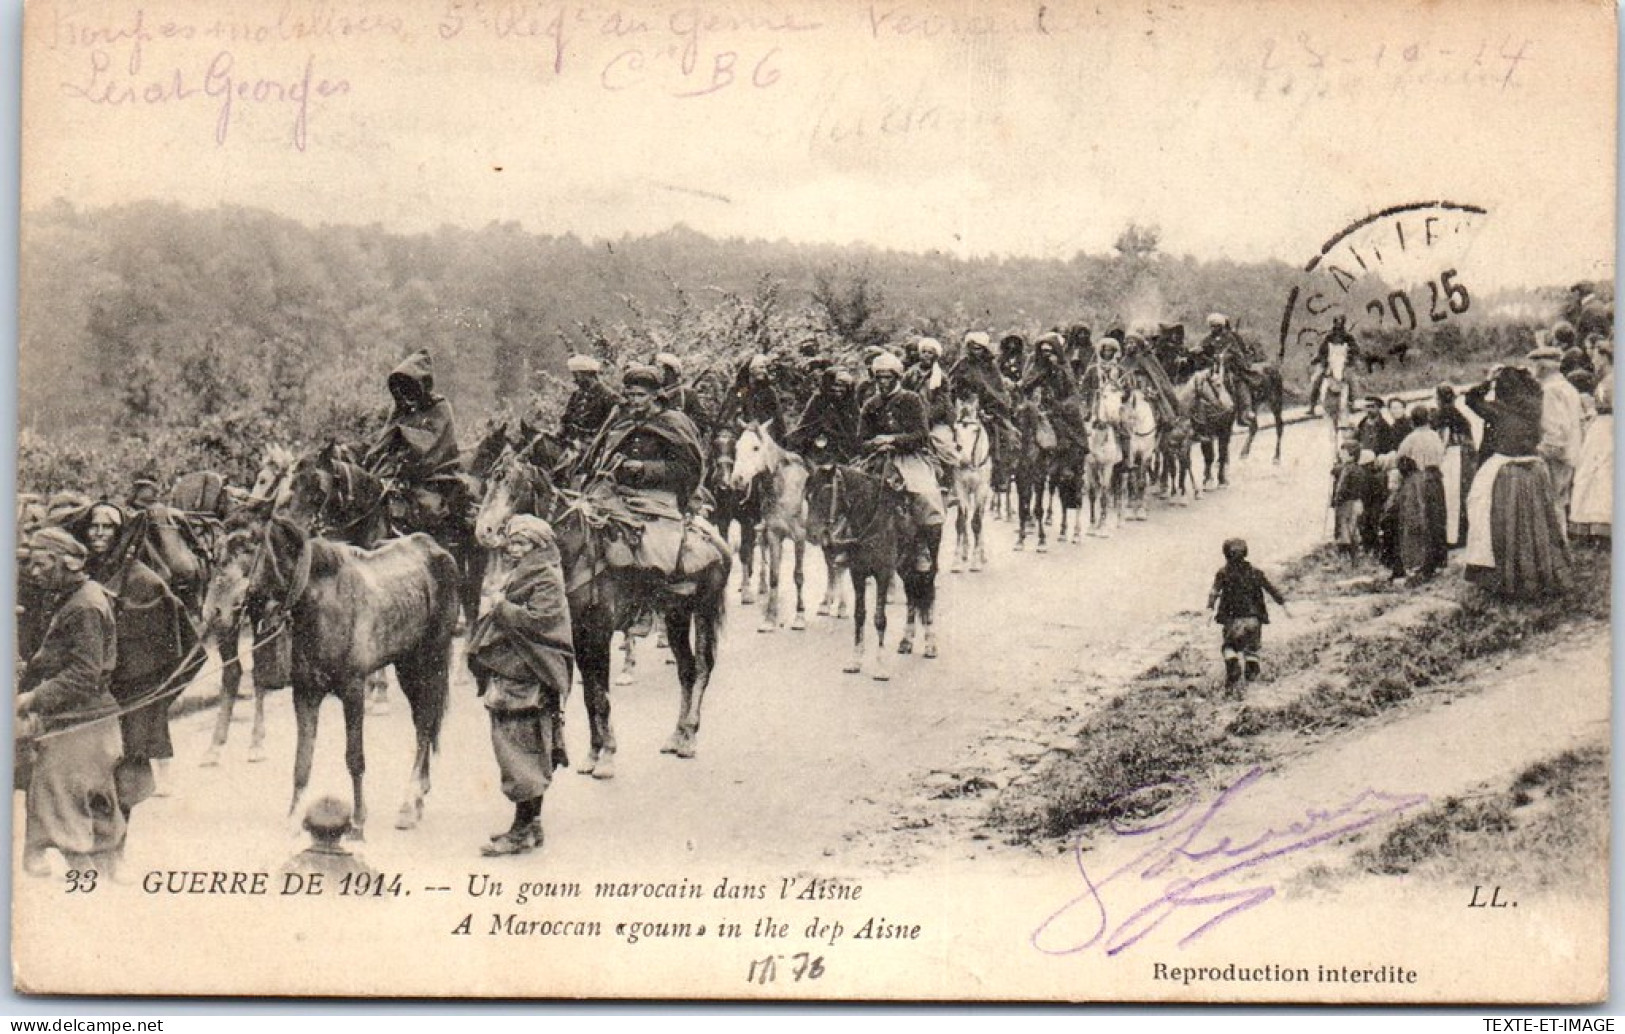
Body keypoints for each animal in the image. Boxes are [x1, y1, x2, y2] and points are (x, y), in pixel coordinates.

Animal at [240, 513, 458, 832]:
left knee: (425, 725)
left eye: (272, 553)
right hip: (407, 667)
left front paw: (357, 817)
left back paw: (408, 804)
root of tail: (435, 549)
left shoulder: (353, 690)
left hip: (431, 663)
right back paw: (418, 799)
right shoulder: (306, 693)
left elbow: (355, 758)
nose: (250, 600)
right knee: (422, 721)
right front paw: (294, 816)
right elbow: (302, 761)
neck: (327, 606)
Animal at [471, 451, 724, 767]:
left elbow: (602, 696)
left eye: (511, 485)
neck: (577, 549)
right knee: (686, 669)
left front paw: (606, 758)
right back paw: (676, 736)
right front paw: (594, 753)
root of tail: (714, 538)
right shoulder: (577, 636)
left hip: (704, 609)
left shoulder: (599, 633)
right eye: (489, 483)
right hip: (675, 615)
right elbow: (589, 696)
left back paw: (689, 736)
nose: (484, 532)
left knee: (703, 666)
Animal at [728, 419, 809, 630]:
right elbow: (774, 575)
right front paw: (770, 619)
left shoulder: (800, 537)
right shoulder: (773, 534)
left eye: (756, 447)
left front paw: (800, 617)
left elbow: (798, 575)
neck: (783, 489)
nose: (737, 480)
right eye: (737, 447)